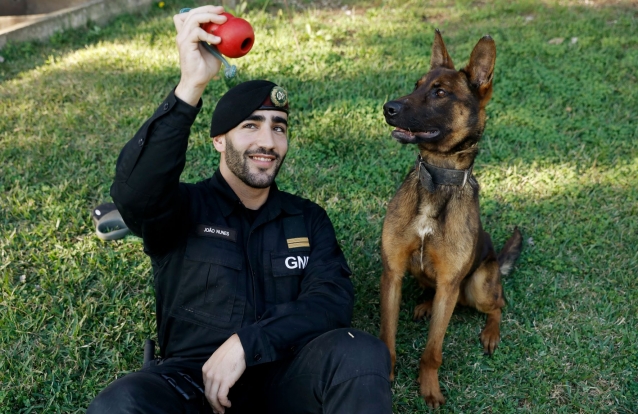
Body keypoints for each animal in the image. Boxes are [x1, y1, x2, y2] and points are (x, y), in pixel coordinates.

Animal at [380, 31, 524, 408]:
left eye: (440, 92)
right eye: (416, 86)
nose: (388, 108)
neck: (437, 179)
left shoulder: (449, 284)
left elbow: (433, 351)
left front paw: (429, 388)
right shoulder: (393, 274)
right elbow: (387, 337)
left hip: (477, 286)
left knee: (499, 303)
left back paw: (490, 333)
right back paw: (424, 305)